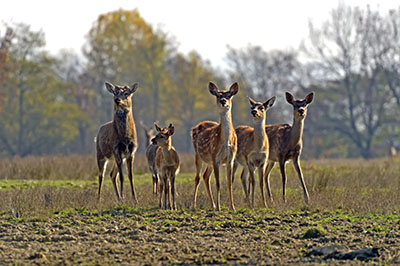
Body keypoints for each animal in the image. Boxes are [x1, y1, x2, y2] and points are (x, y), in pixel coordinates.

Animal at [192, 82, 239, 211]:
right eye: (218, 95)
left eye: (229, 95)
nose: (223, 101)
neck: (226, 141)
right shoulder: (215, 157)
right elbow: (218, 183)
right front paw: (219, 207)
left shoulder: (231, 158)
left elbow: (229, 183)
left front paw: (232, 207)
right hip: (198, 155)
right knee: (197, 177)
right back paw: (194, 205)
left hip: (209, 161)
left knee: (205, 176)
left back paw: (212, 205)